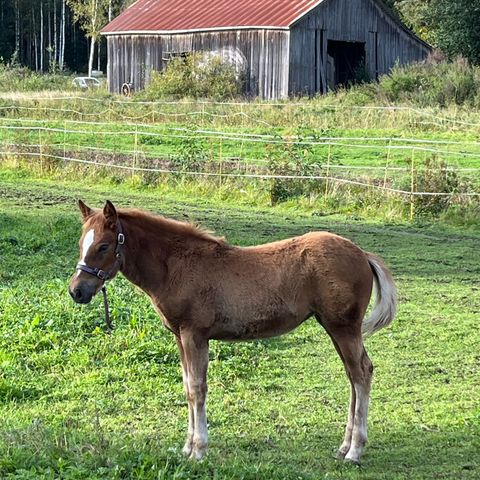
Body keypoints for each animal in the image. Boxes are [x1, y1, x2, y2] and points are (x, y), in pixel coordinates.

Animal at [68, 201, 398, 464]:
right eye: (81, 244)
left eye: (103, 246)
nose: (77, 291)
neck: (178, 267)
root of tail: (362, 253)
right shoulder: (179, 336)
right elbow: (187, 386)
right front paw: (186, 447)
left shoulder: (195, 335)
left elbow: (197, 389)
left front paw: (198, 450)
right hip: (333, 327)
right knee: (353, 376)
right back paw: (344, 446)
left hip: (344, 327)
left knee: (362, 373)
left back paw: (355, 451)